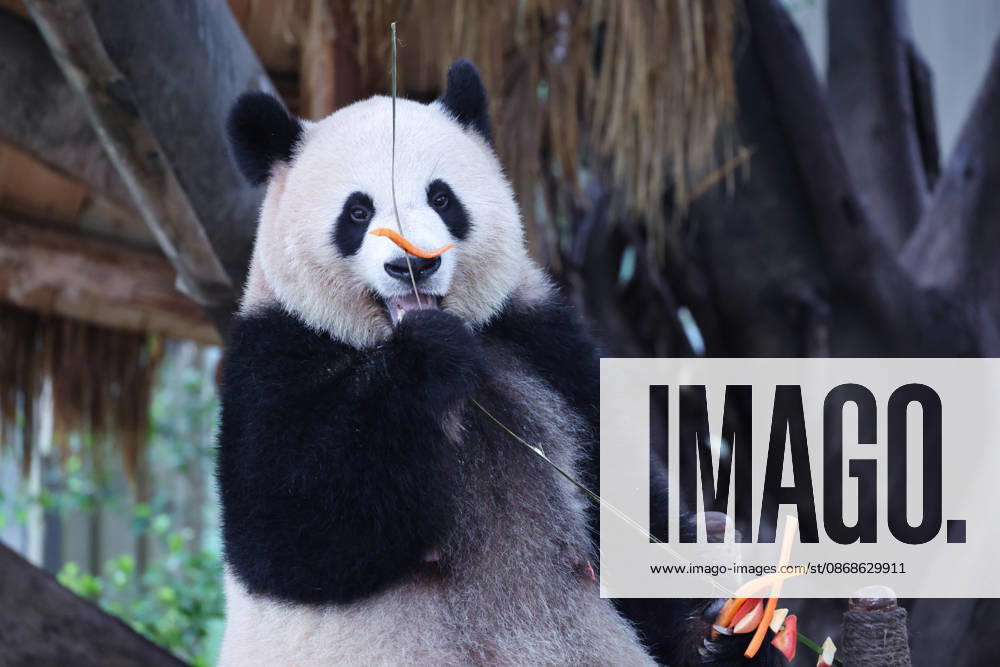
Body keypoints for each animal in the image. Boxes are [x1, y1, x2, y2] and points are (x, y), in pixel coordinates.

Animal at [217, 59, 775, 666]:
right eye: (358, 211)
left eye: (441, 198)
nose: (413, 265)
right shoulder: (273, 355)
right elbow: (292, 530)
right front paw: (427, 358)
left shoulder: (544, 344)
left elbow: (628, 508)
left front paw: (712, 628)